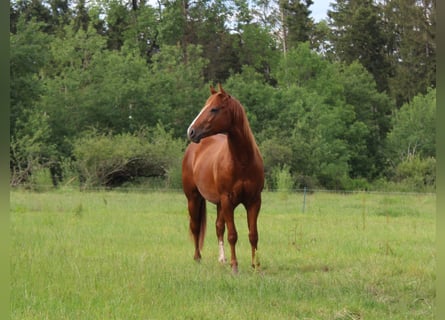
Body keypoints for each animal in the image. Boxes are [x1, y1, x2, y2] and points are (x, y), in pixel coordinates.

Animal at [181, 84, 264, 274]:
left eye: (214, 109)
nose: (191, 131)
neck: (242, 161)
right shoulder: (227, 200)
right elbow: (233, 235)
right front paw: (235, 266)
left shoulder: (254, 201)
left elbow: (253, 235)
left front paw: (256, 266)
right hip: (193, 198)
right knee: (195, 227)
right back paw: (198, 258)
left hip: (219, 203)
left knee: (219, 227)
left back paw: (222, 259)